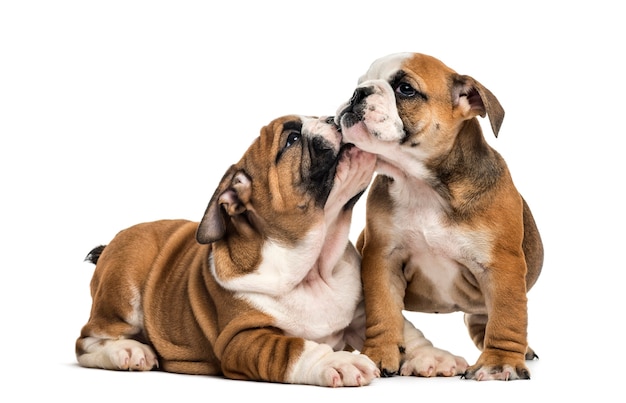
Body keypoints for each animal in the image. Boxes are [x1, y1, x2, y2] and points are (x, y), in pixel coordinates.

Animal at [74, 113, 464, 388]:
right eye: (291, 138)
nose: (332, 116)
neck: (312, 265)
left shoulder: (362, 311)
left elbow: (399, 325)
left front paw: (432, 356)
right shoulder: (245, 337)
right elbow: (294, 347)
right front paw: (337, 361)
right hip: (126, 279)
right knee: (87, 341)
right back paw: (127, 350)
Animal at [336, 52, 540, 382]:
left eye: (405, 89)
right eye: (360, 82)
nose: (358, 93)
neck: (421, 185)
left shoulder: (502, 266)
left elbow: (507, 315)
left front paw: (500, 362)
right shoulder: (382, 258)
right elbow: (382, 309)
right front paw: (379, 353)